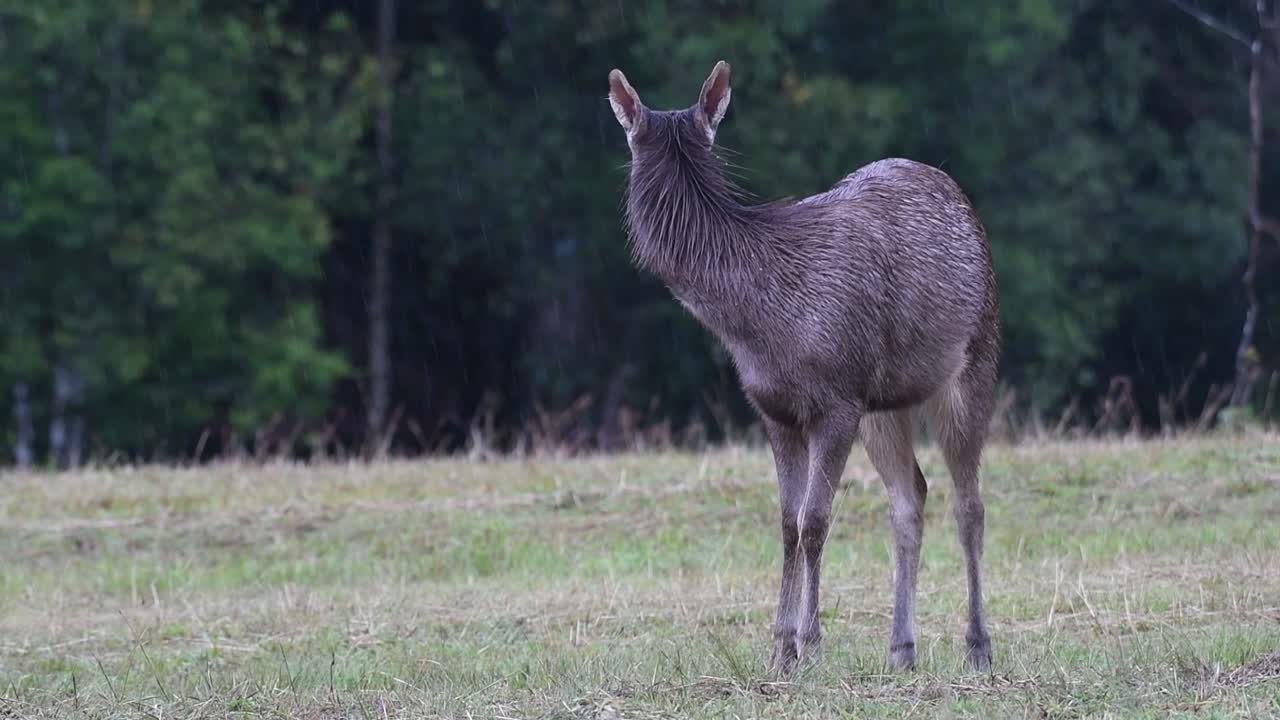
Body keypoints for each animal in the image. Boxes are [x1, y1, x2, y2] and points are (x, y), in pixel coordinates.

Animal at [606, 61, 1000, 676]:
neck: (757, 327)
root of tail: (962, 199)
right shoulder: (775, 409)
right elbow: (787, 523)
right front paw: (779, 648)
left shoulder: (837, 399)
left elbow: (815, 520)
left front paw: (810, 643)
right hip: (884, 403)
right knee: (911, 496)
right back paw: (901, 650)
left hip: (975, 356)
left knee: (970, 503)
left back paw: (979, 646)